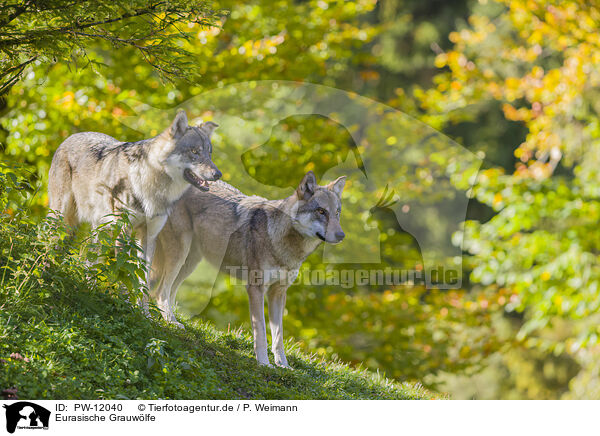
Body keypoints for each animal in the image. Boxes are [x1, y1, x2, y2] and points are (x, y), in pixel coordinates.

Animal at [48, 110, 223, 296]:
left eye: (209, 153)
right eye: (194, 151)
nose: (218, 174)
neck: (152, 185)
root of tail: (71, 137)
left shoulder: (150, 235)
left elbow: (143, 281)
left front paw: (140, 304)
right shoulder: (123, 231)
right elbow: (123, 270)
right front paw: (120, 299)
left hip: (100, 231)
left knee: (90, 261)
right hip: (62, 217)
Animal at [151, 172, 346, 366]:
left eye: (337, 213)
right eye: (321, 211)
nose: (341, 235)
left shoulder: (278, 292)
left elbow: (278, 335)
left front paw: (283, 365)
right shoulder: (255, 289)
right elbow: (261, 331)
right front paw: (264, 363)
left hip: (189, 263)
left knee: (168, 291)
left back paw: (171, 319)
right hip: (179, 255)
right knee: (160, 291)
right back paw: (170, 321)